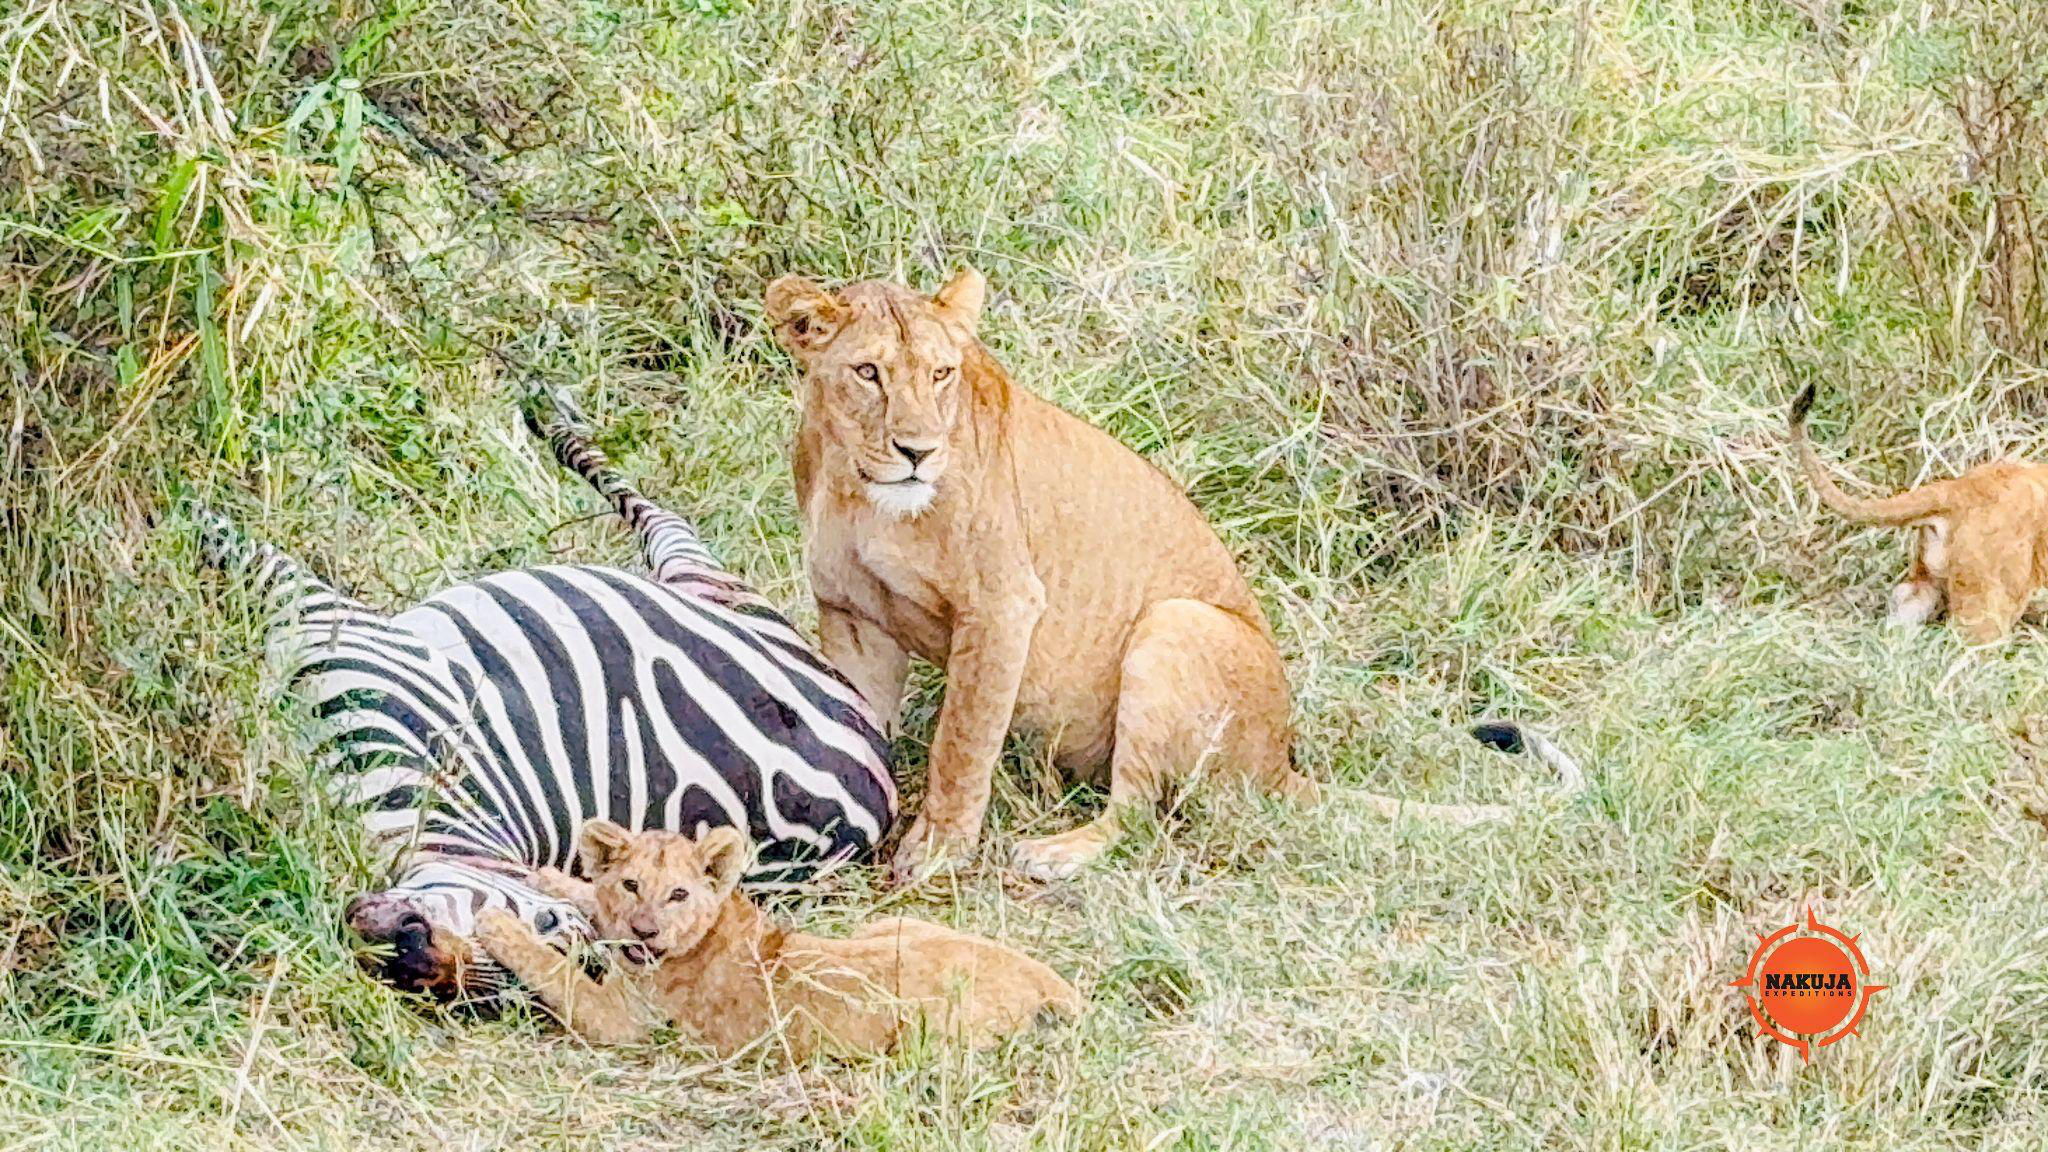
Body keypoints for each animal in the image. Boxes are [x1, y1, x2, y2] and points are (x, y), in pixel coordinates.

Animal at [474, 820, 1080, 1056]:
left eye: (678, 895)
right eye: (630, 885)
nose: (644, 930)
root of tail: (1048, 979)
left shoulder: (628, 1024)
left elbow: (559, 973)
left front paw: (496, 923)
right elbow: (588, 904)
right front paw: (552, 880)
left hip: (925, 1034)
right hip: (888, 926)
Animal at [765, 268, 1578, 881]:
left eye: (941, 374)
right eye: (867, 373)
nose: (918, 451)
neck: (860, 491)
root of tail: (1277, 764)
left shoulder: (1003, 605)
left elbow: (962, 740)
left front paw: (937, 850)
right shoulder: (853, 615)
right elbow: (856, 718)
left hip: (1174, 624)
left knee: (1136, 817)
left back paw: (1054, 854)